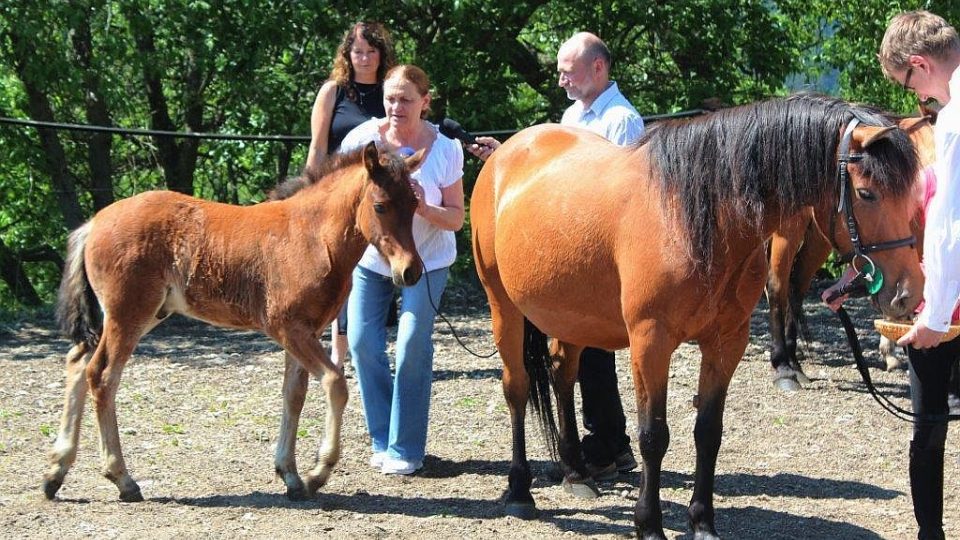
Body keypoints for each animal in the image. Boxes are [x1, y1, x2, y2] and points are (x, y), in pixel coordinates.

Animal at [41, 142, 424, 502]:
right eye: (380, 206)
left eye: (414, 205)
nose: (411, 271)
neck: (312, 237)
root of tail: (93, 223)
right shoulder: (288, 328)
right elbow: (335, 383)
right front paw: (318, 472)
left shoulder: (305, 331)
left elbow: (293, 395)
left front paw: (290, 476)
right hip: (128, 314)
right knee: (102, 375)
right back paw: (122, 479)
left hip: (141, 314)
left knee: (77, 362)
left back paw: (55, 473)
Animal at [768, 112, 932, 388]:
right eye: (865, 193)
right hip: (788, 231)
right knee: (777, 285)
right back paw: (783, 365)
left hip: (819, 237)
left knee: (798, 282)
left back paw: (795, 362)